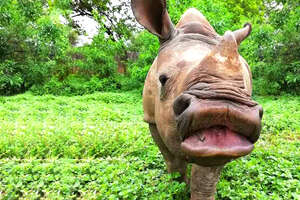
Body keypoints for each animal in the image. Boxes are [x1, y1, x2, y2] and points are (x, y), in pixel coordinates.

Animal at [131, 0, 262, 198]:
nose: (225, 110)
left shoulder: (216, 148)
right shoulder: (151, 118)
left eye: (244, 86)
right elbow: (173, 162)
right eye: (162, 79)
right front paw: (178, 189)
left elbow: (205, 177)